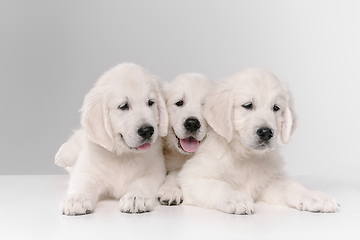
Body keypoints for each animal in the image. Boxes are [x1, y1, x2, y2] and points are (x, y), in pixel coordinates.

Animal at [55, 63, 168, 216]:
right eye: (124, 106)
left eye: (151, 102)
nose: (147, 131)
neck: (124, 156)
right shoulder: (89, 170)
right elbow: (82, 182)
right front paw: (76, 199)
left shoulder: (155, 170)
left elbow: (142, 183)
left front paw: (135, 197)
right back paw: (64, 154)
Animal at [179, 68, 338, 215]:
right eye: (248, 105)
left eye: (276, 108)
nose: (266, 133)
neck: (245, 156)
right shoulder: (191, 178)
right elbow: (218, 186)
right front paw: (236, 197)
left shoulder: (268, 182)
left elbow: (291, 186)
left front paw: (314, 196)